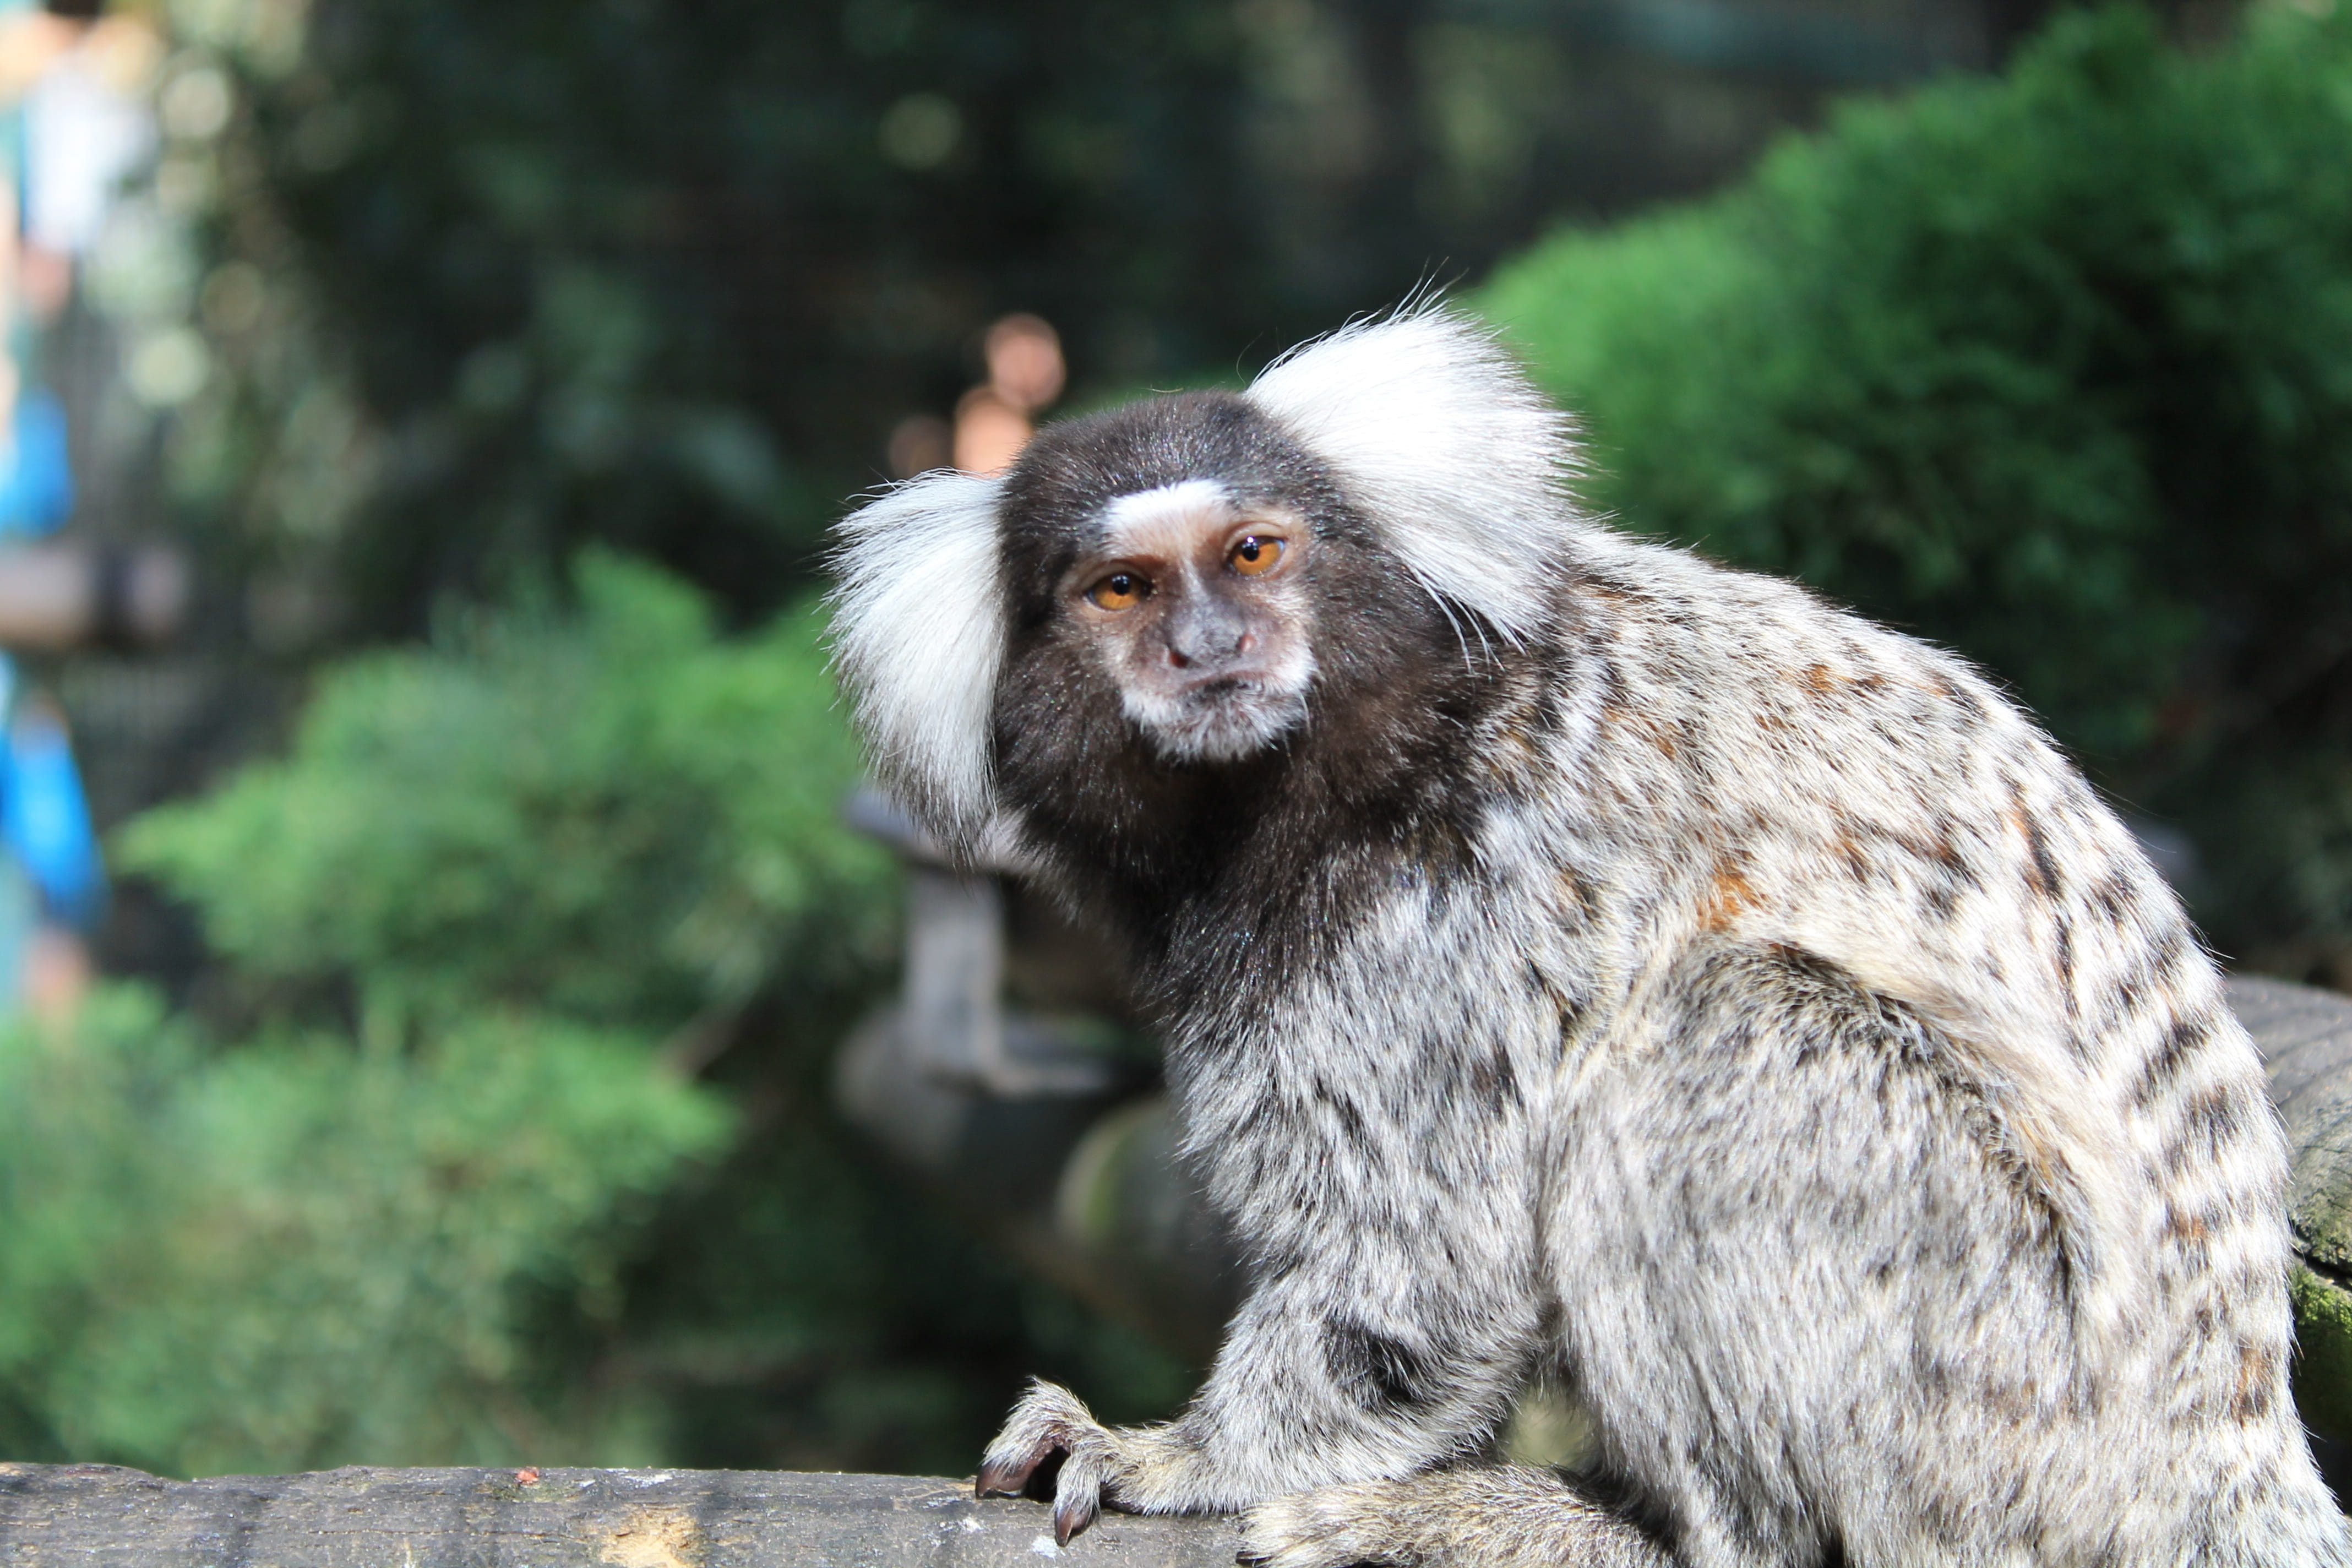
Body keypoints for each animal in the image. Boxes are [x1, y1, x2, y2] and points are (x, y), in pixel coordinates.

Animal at [828, 307, 2352, 1567]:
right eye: (1121, 591)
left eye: (1252, 552)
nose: (1210, 650)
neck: (1357, 752)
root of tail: (2227, 1449)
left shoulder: (1451, 903)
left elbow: (1419, 1266)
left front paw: (1176, 1453)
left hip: (2016, 1397)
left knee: (1722, 1021)